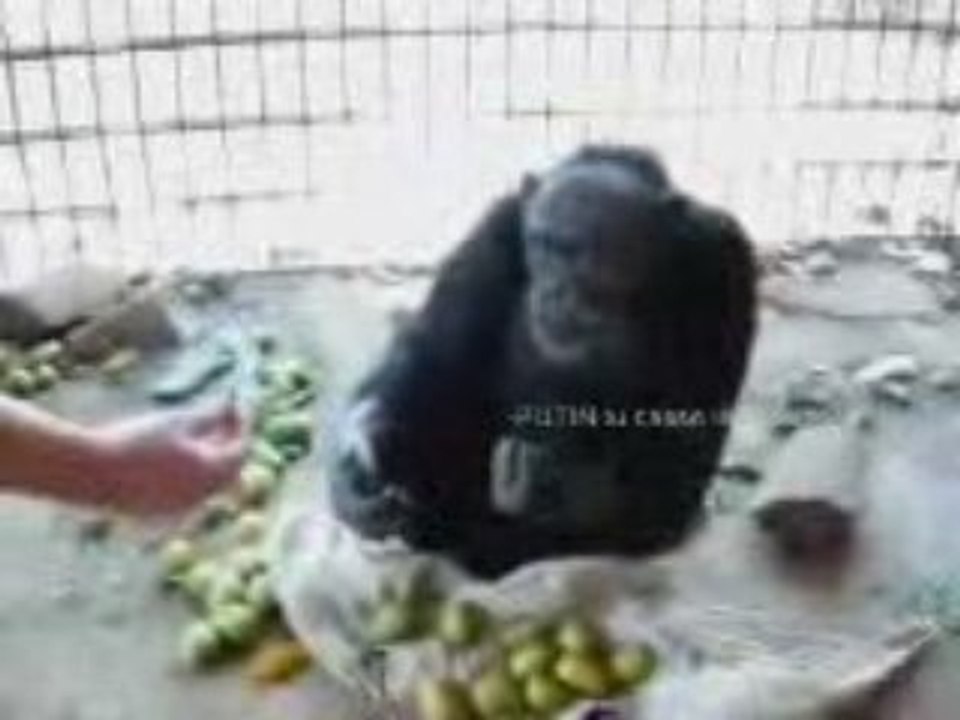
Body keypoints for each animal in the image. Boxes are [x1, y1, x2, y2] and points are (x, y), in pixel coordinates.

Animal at [329, 145, 758, 579]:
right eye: (542, 244)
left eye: (579, 252)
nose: (554, 290)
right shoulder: (496, 227)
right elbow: (435, 355)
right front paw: (360, 461)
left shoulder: (725, 261)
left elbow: (685, 437)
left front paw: (553, 485)